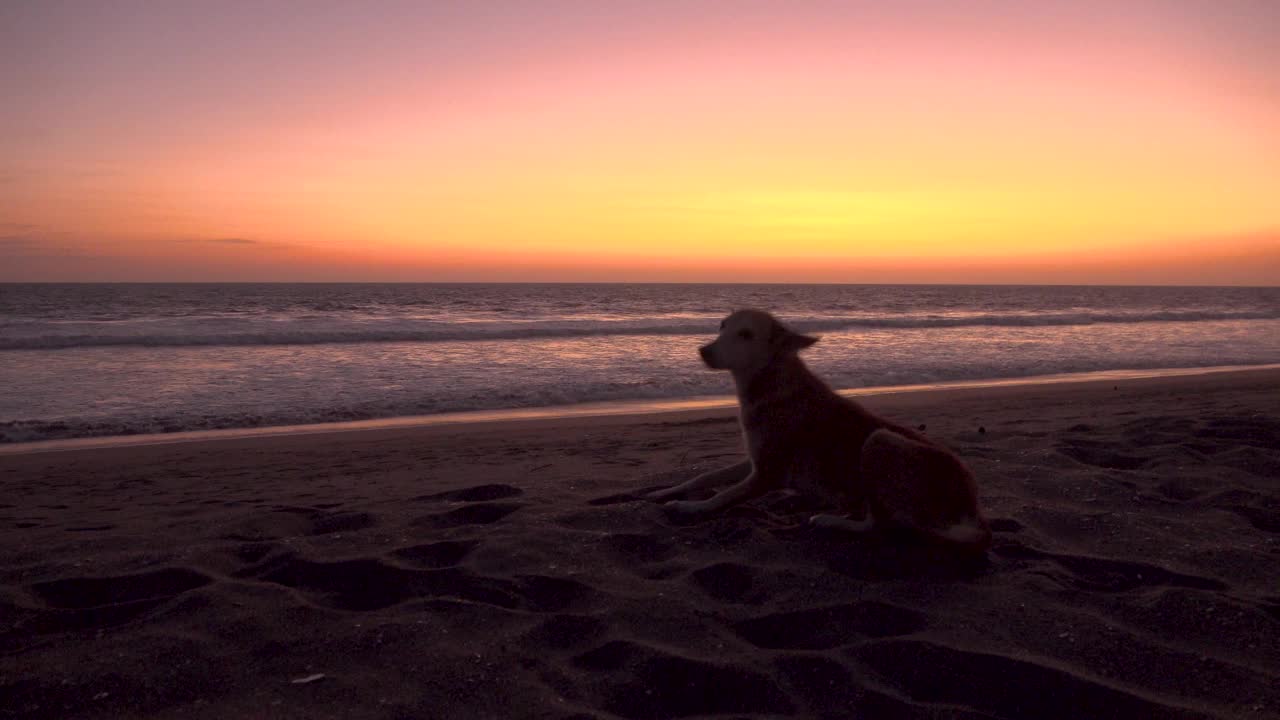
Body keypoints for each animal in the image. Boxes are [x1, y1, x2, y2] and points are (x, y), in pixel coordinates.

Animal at [650, 307, 988, 548]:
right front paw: (664, 491)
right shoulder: (755, 460)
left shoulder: (767, 474)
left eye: (745, 334)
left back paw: (829, 520)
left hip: (879, 441)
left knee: (878, 525)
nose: (703, 351)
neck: (770, 381)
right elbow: (704, 476)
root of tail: (973, 512)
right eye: (722, 326)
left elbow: (721, 497)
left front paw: (689, 508)